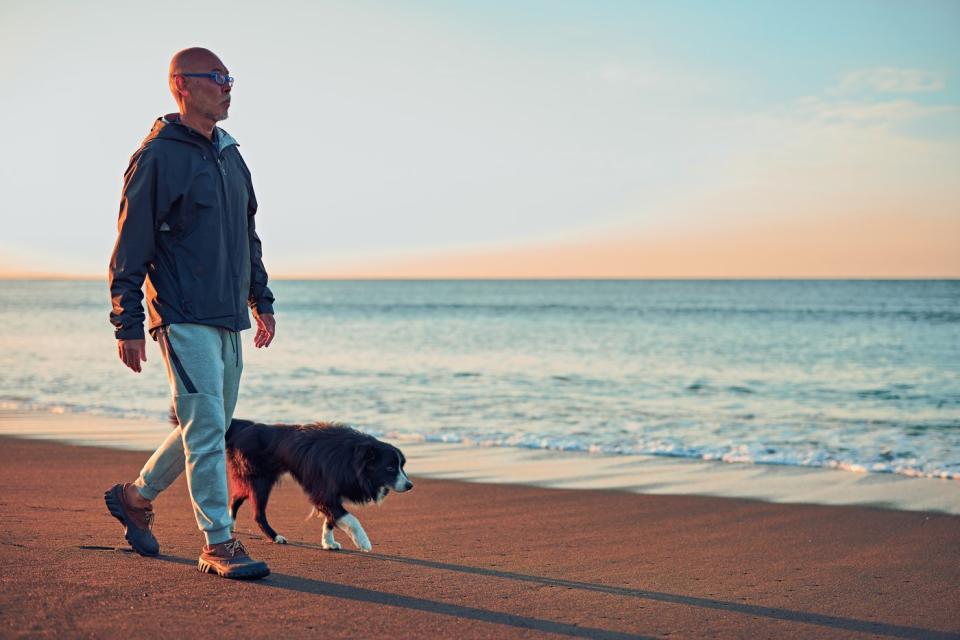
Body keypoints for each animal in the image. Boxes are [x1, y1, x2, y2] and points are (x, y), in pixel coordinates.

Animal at [224, 420, 412, 552]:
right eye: (390, 468)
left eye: (402, 466)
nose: (410, 485)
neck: (352, 458)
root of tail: (245, 428)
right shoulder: (325, 493)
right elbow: (350, 518)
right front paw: (363, 541)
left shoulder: (332, 494)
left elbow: (331, 519)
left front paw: (328, 542)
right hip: (260, 480)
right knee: (258, 514)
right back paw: (275, 537)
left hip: (256, 479)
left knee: (236, 496)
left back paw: (230, 523)